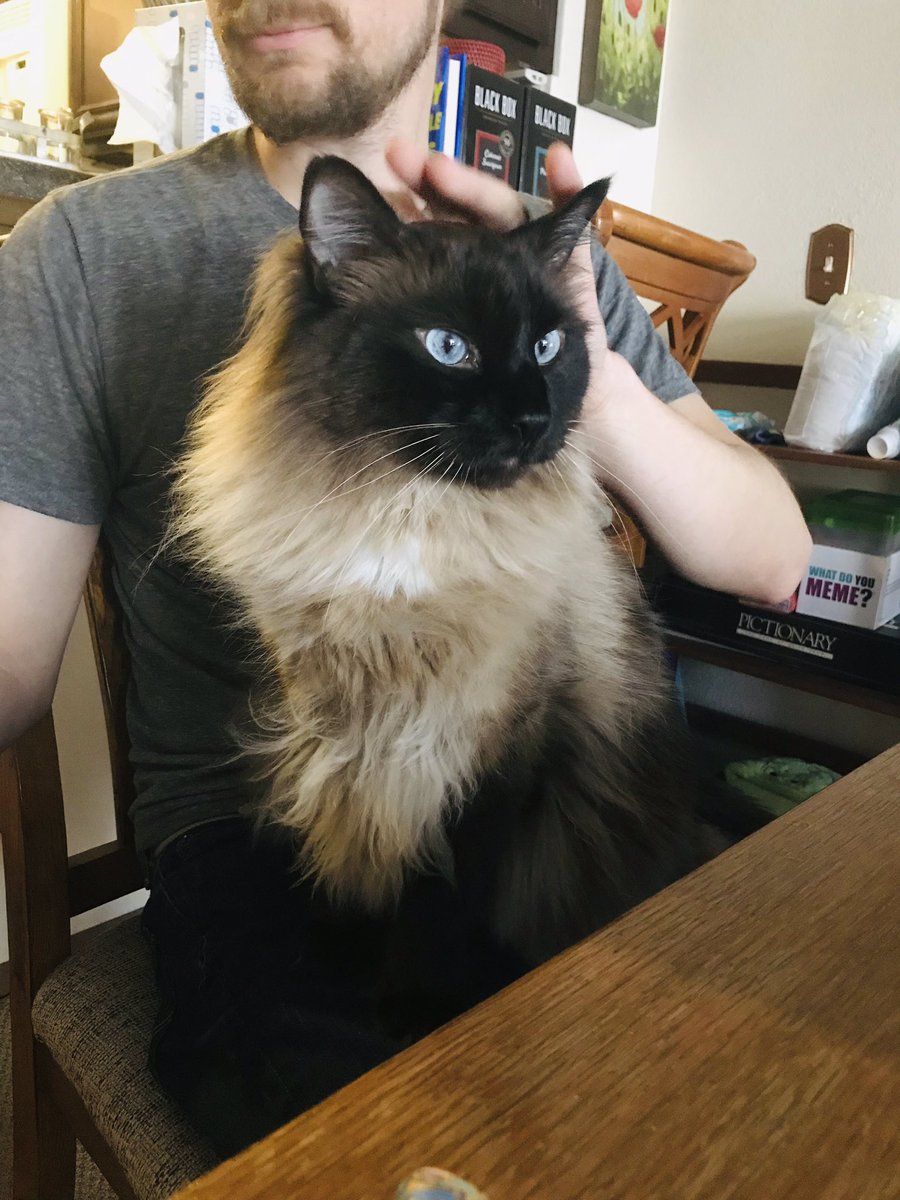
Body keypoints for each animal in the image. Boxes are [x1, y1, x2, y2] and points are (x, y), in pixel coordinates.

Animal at [173, 155, 700, 973]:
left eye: (548, 349)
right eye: (449, 348)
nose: (533, 420)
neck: (409, 514)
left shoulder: (501, 746)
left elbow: (456, 906)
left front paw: (435, 989)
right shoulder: (340, 728)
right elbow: (348, 844)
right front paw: (348, 949)